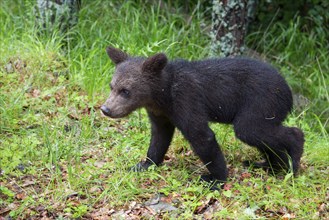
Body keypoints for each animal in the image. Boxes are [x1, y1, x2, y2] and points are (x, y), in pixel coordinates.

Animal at [100, 46, 304, 186]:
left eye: (125, 91)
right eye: (112, 86)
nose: (106, 109)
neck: (163, 95)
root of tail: (288, 90)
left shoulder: (187, 99)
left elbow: (201, 136)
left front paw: (216, 179)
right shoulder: (161, 113)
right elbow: (159, 137)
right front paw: (144, 164)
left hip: (260, 102)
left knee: (253, 130)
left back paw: (293, 162)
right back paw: (269, 165)